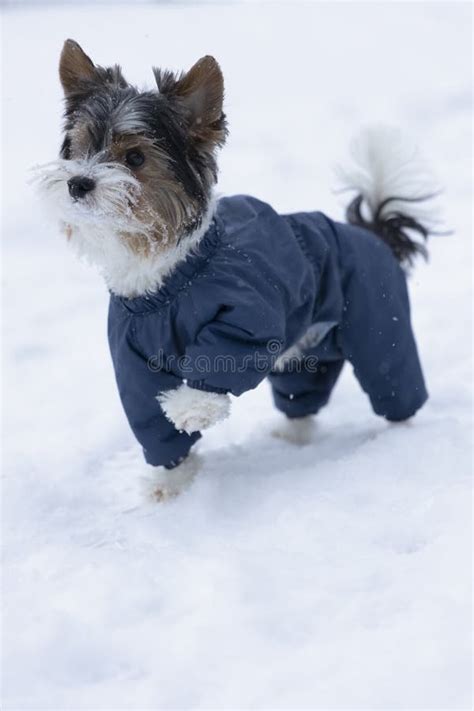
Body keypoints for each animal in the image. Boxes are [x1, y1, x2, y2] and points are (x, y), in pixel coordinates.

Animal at [35, 40, 442, 500]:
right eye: (81, 148)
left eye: (135, 157)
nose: (78, 183)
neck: (169, 284)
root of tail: (369, 233)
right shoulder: (132, 360)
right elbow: (151, 419)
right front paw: (170, 482)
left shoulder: (250, 316)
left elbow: (221, 358)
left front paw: (190, 407)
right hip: (309, 353)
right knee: (303, 393)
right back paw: (292, 437)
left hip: (378, 321)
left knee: (393, 378)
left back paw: (400, 437)